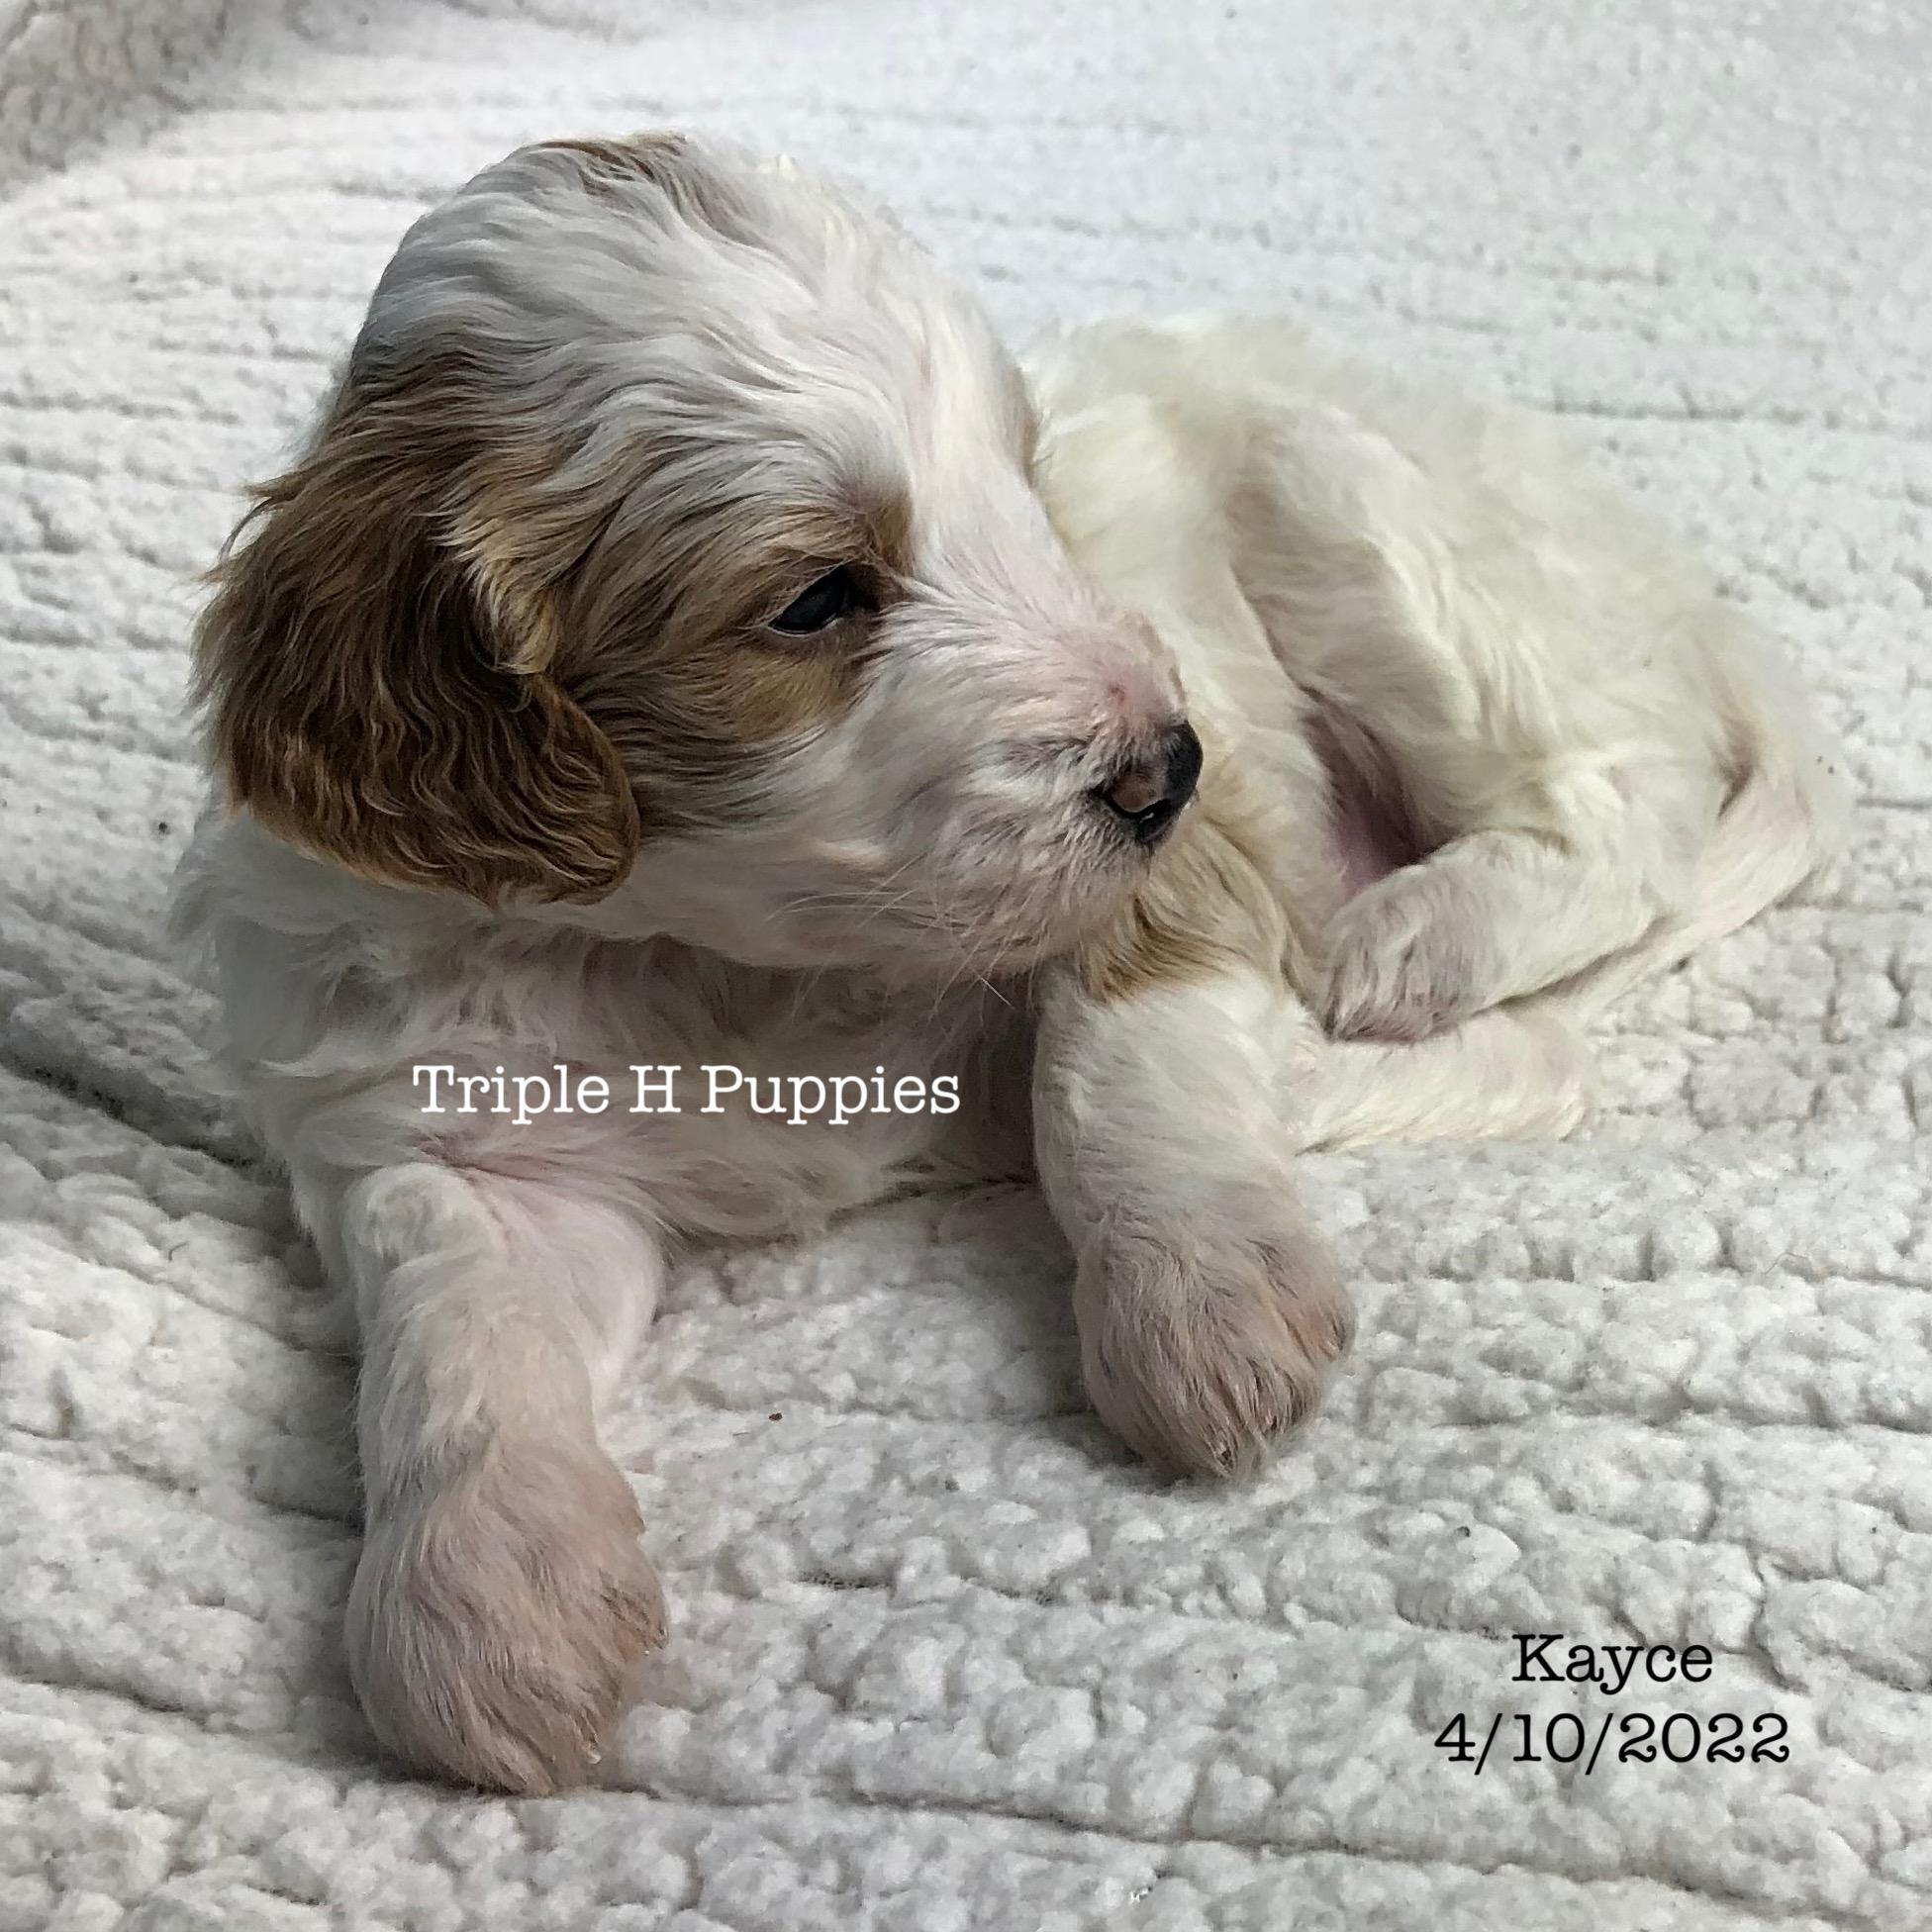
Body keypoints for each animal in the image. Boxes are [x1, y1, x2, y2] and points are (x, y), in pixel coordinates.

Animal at [172, 131, 1847, 1793]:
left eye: (1023, 481)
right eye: (816, 598)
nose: (1168, 764)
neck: (717, 951)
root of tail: (1675, 584)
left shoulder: (1182, 868)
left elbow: (1108, 1068)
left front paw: (1206, 1302)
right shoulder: (452, 1120)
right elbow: (461, 1326)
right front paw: (486, 1599)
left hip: (1368, 519)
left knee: (1624, 806)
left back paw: (1414, 940)